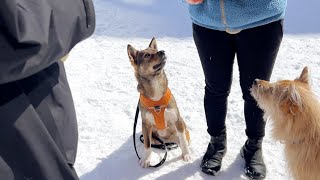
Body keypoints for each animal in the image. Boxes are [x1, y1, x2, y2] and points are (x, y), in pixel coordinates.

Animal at [127, 37, 191, 167]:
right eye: (147, 55)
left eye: (155, 50)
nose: (162, 51)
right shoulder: (146, 124)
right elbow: (147, 145)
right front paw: (146, 159)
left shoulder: (177, 120)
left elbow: (182, 140)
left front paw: (186, 154)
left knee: (183, 138)